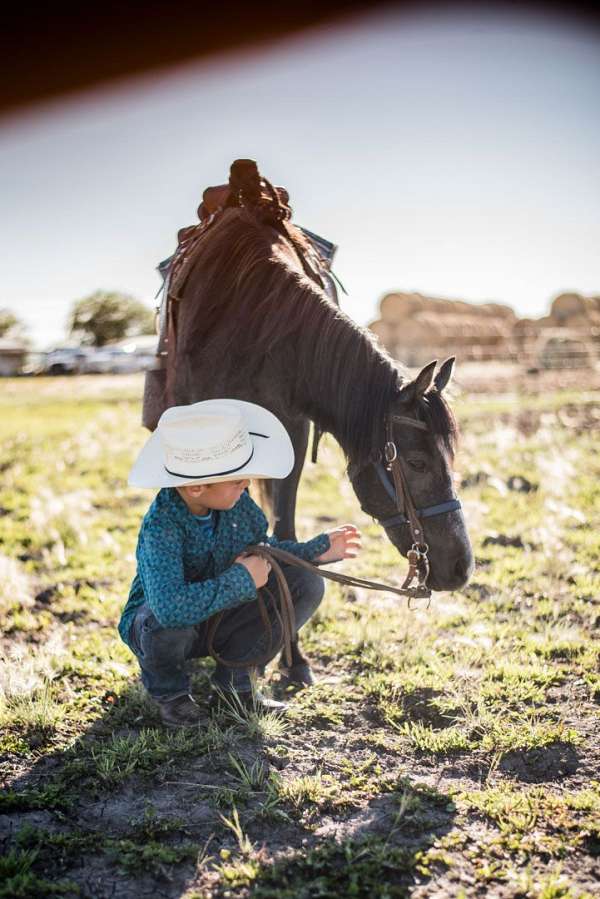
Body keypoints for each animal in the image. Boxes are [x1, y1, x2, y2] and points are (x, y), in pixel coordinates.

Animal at [146, 160, 474, 684]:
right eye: (418, 463)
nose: (462, 568)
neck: (250, 319)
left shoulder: (292, 434)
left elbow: (281, 533)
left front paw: (289, 655)